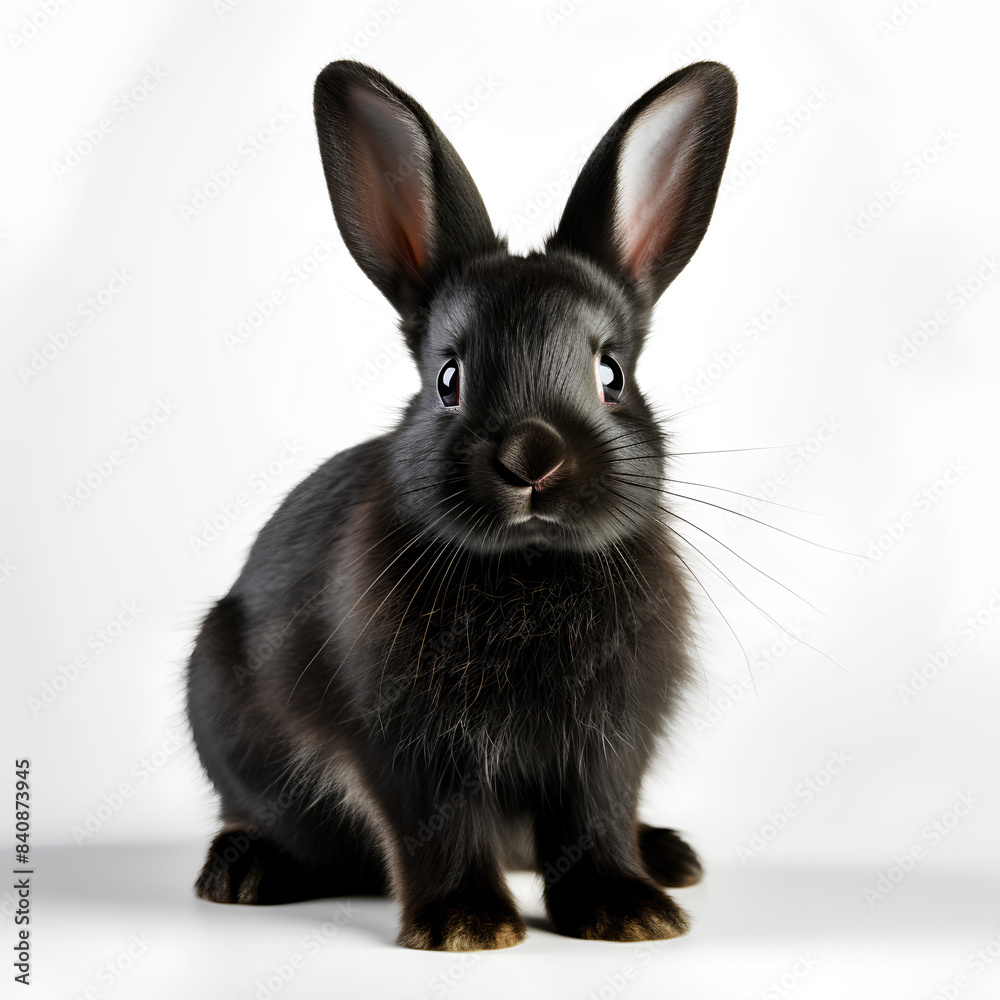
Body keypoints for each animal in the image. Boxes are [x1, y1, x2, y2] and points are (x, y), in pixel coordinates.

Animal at [186, 58, 736, 951]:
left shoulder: (606, 750)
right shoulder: (410, 749)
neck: (529, 566)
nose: (533, 458)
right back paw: (245, 871)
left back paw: (669, 857)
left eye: (612, 375)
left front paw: (631, 912)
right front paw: (467, 926)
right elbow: (436, 828)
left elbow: (596, 821)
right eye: (449, 378)